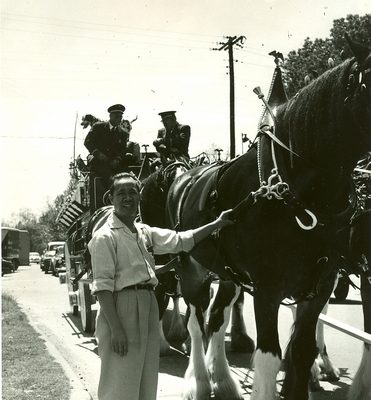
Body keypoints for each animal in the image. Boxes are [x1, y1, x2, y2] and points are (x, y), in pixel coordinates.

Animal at [165, 38, 371, 400]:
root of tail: (183, 173)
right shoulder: (267, 288)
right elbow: (268, 358)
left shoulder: (319, 287)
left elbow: (301, 352)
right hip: (191, 267)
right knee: (195, 322)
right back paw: (199, 382)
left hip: (228, 273)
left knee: (216, 318)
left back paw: (223, 380)